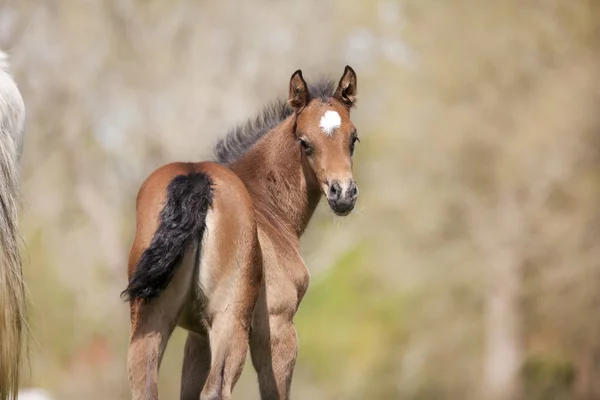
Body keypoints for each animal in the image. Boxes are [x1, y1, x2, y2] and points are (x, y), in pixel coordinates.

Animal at [123, 64, 360, 398]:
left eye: (353, 138)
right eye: (304, 142)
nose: (344, 194)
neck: (266, 208)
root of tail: (196, 180)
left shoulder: (197, 336)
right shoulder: (277, 326)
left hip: (150, 319)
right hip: (229, 319)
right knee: (217, 389)